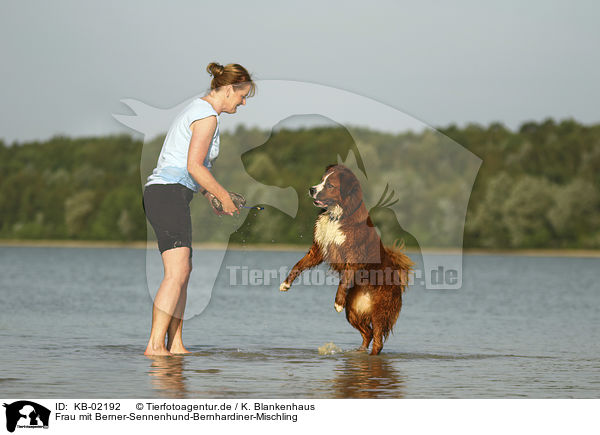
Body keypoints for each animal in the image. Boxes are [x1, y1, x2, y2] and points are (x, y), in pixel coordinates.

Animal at [280, 165, 412, 356]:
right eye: (322, 180)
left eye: (330, 185)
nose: (312, 189)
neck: (336, 215)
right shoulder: (318, 249)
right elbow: (299, 265)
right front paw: (286, 283)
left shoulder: (353, 255)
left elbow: (344, 280)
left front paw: (337, 302)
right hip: (354, 311)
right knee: (368, 333)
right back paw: (358, 353)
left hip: (380, 310)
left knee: (377, 340)